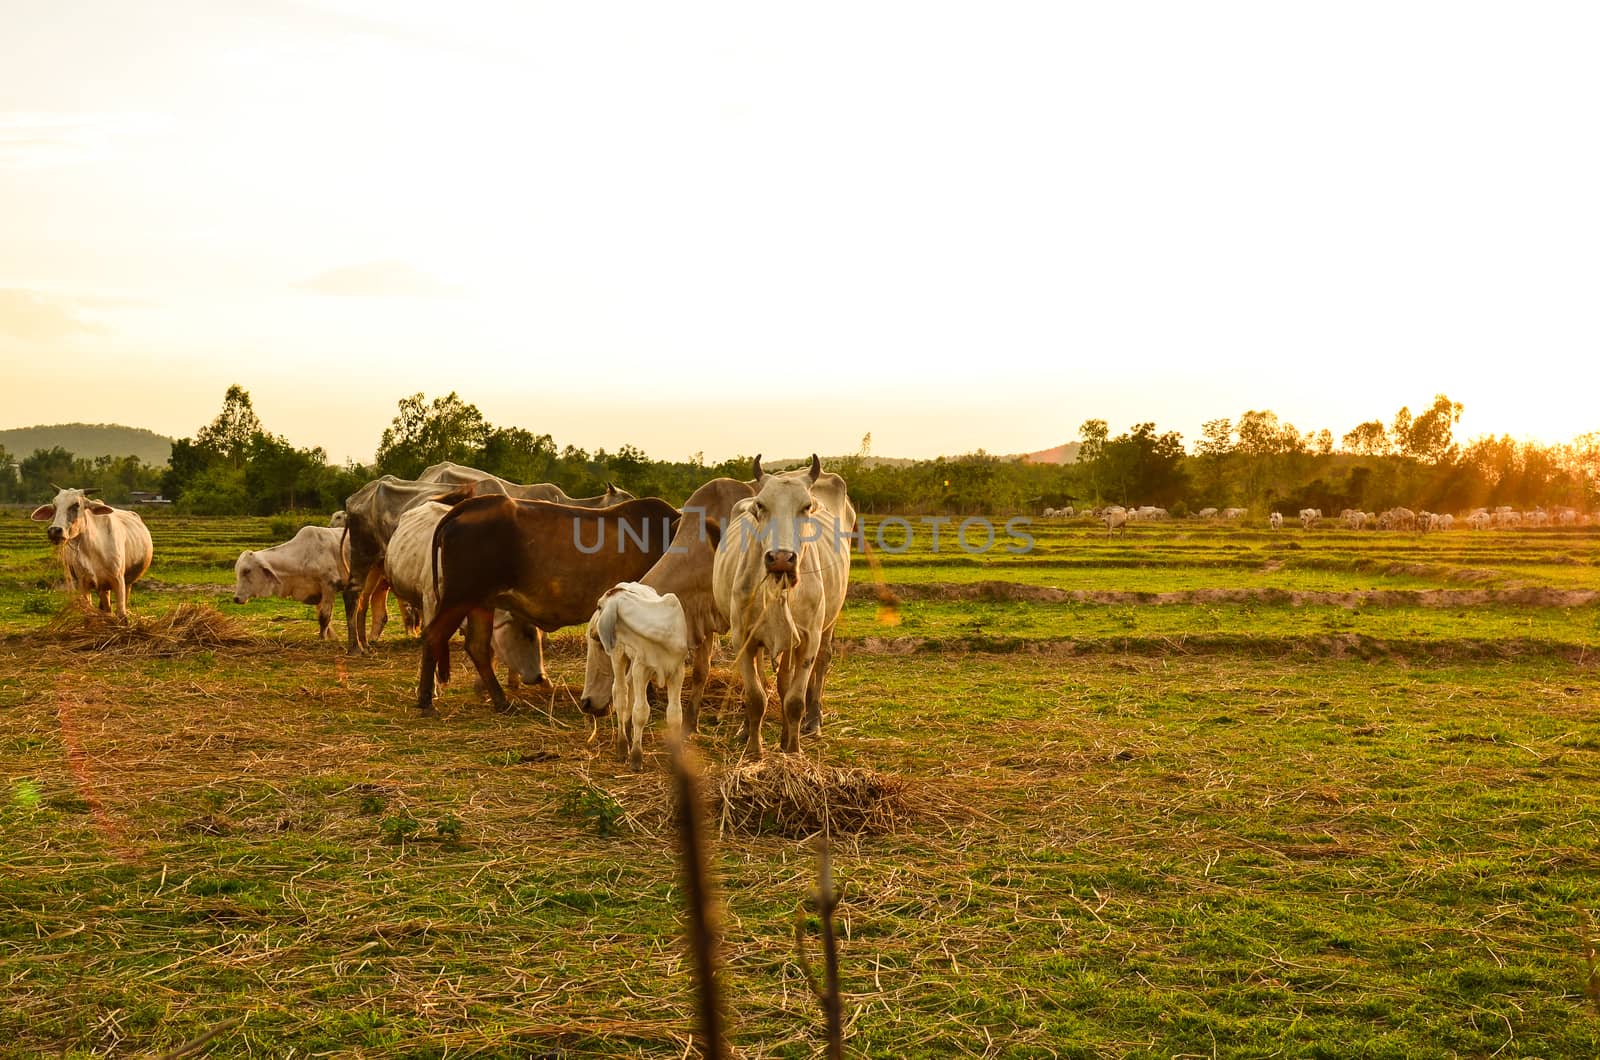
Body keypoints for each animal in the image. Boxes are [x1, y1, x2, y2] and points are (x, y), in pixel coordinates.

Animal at [32, 489, 153, 624]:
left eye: (76, 504)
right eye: (55, 505)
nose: (54, 531)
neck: (94, 548)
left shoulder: (118, 580)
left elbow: (122, 615)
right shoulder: (83, 584)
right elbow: (88, 617)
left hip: (128, 582)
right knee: (106, 607)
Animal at [416, 496, 678, 714]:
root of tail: (469, 506)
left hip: (481, 602)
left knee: (477, 646)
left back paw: (502, 702)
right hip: (460, 596)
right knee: (433, 635)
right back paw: (426, 700)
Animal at [588, 586, 688, 768]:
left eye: (599, 607)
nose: (593, 633)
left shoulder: (677, 671)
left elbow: (675, 714)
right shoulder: (641, 669)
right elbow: (641, 712)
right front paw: (636, 757)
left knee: (629, 690)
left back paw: (628, 735)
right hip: (619, 655)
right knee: (620, 694)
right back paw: (622, 745)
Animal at [713, 451, 851, 758]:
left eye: (806, 506)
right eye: (760, 506)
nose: (780, 558)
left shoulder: (809, 638)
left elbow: (794, 700)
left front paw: (793, 750)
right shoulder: (743, 638)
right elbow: (756, 696)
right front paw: (755, 749)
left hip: (829, 622)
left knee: (821, 662)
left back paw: (812, 721)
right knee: (773, 681)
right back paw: (748, 729)